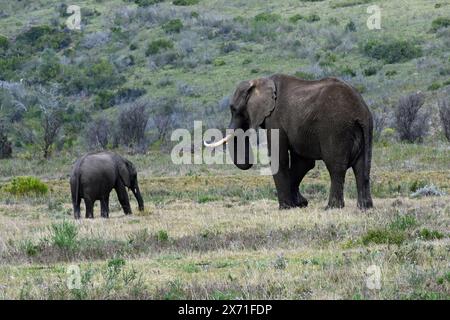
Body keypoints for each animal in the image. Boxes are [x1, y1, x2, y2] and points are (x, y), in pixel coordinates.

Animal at [204, 74, 372, 211]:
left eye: (233, 109)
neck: (261, 81)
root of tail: (359, 111)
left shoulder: (275, 118)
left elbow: (280, 158)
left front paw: (285, 207)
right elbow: (303, 163)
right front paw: (300, 203)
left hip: (335, 129)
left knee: (336, 166)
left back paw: (332, 207)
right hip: (366, 129)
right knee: (363, 167)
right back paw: (365, 207)